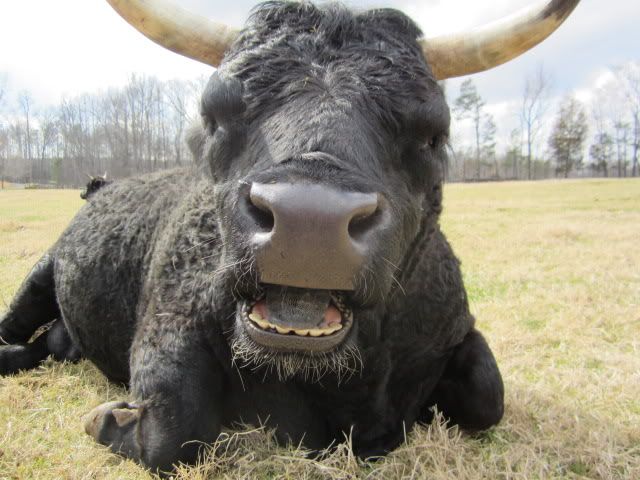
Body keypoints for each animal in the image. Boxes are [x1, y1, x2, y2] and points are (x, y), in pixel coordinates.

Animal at [0, 0, 580, 473]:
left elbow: (488, 397)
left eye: (434, 133)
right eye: (214, 113)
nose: (309, 223)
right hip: (41, 274)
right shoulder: (168, 328)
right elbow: (173, 433)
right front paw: (106, 418)